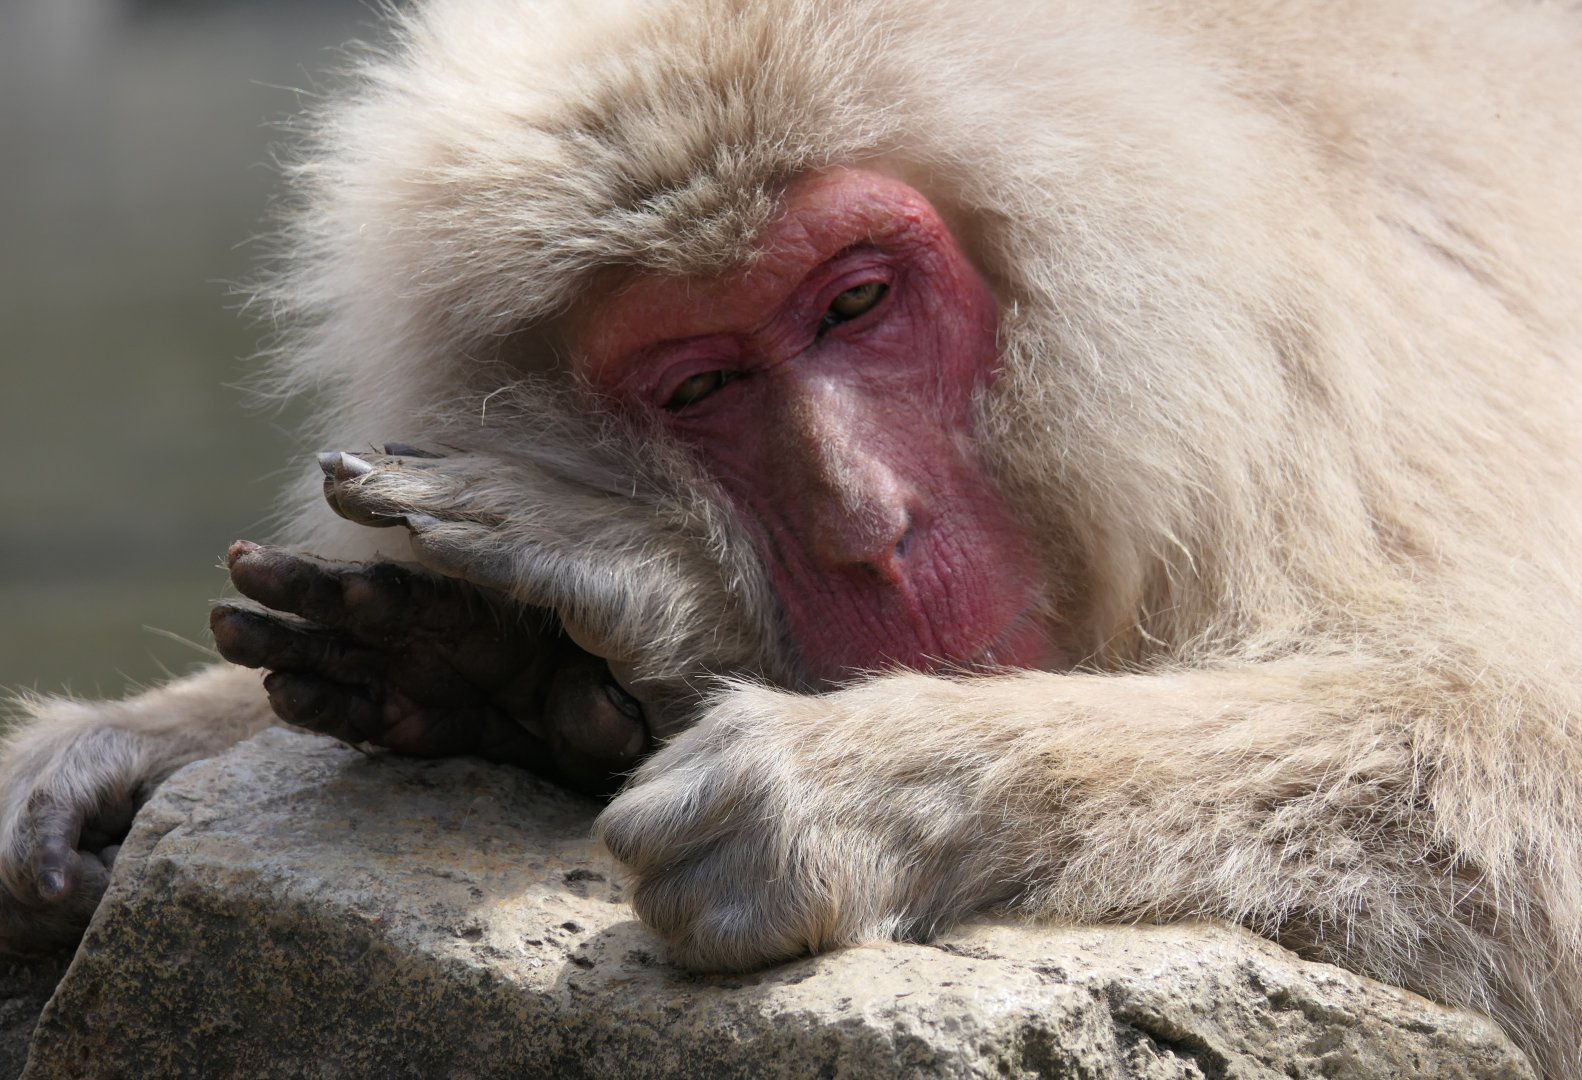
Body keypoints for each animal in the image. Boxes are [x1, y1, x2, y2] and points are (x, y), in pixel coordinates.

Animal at [3, 0, 1581, 1075]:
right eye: (701, 386)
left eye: (856, 303)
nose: (868, 530)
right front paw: (157, 737)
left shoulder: (1365, 385)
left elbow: (1529, 767)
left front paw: (841, 770)